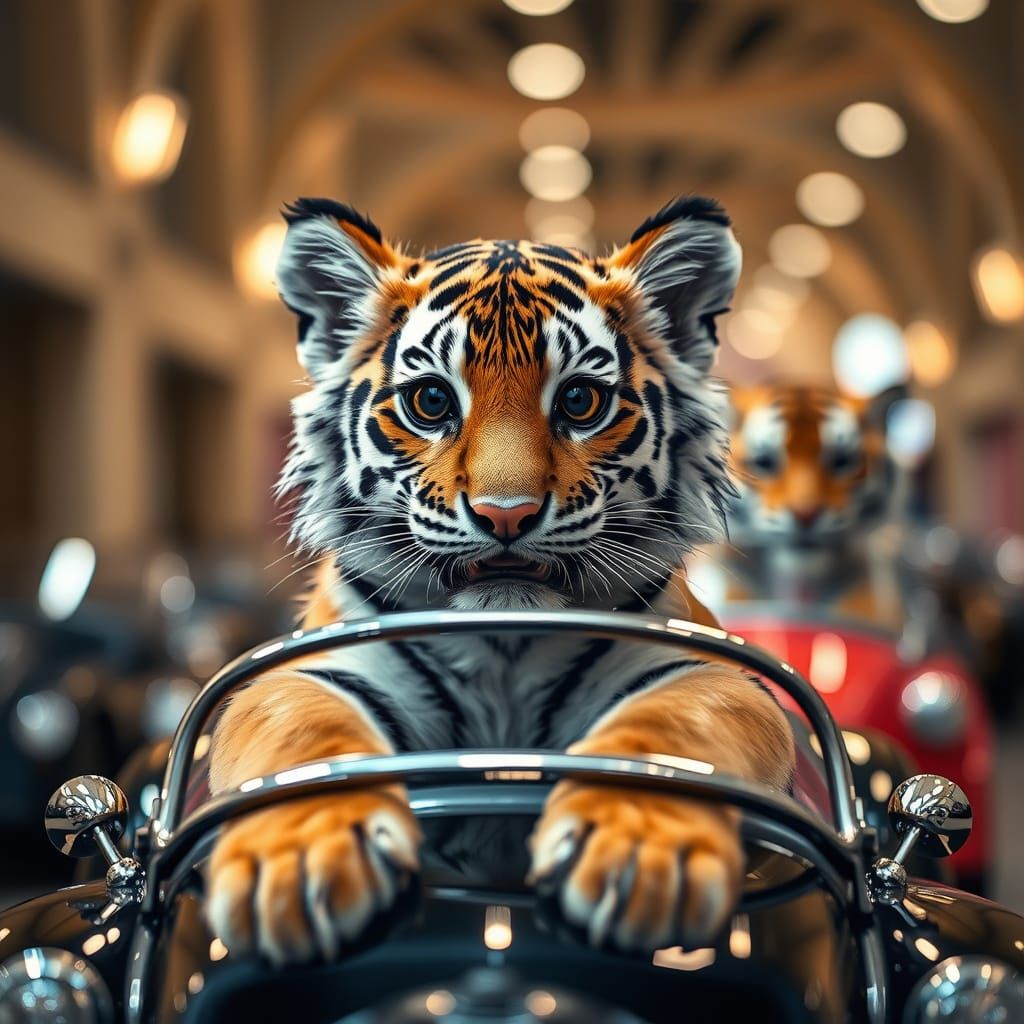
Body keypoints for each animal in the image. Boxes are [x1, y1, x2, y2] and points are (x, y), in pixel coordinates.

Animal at [205, 197, 795, 965]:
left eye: (579, 402)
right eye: (431, 401)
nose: (505, 514)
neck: (504, 647)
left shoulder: (708, 673)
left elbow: (668, 731)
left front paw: (634, 845)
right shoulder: (317, 671)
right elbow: (303, 733)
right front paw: (301, 861)